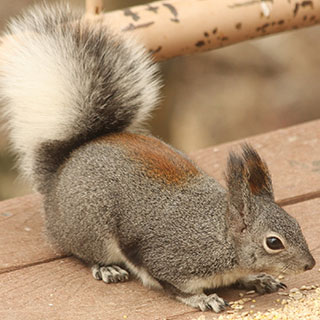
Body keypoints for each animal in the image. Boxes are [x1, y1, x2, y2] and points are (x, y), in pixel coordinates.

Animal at [0, 2, 316, 312]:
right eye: (273, 242)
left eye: (296, 223)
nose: (310, 264)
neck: (221, 235)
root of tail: (63, 168)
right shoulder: (169, 262)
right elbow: (175, 288)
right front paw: (204, 299)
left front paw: (258, 279)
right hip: (91, 228)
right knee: (83, 253)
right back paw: (105, 268)